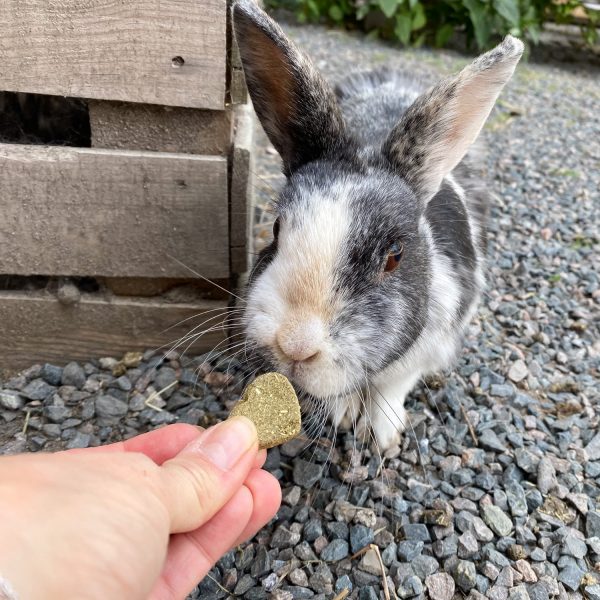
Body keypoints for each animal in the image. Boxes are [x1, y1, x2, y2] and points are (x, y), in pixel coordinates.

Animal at [232, 0, 524, 450]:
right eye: (277, 230)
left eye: (394, 257)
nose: (295, 345)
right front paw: (343, 413)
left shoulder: (433, 342)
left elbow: (395, 384)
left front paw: (382, 433)